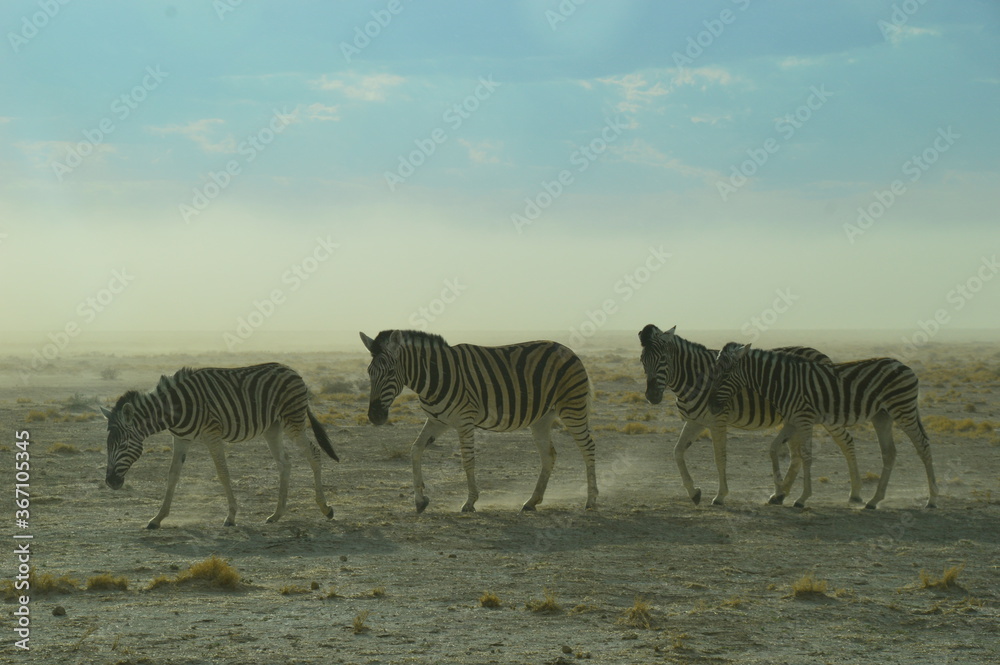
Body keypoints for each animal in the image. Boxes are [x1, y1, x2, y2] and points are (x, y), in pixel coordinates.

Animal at [102, 363, 339, 528]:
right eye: (108, 445)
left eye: (123, 444)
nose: (111, 482)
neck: (174, 410)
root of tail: (292, 370)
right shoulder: (181, 440)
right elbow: (172, 475)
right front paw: (157, 518)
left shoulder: (212, 435)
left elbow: (223, 472)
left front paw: (231, 516)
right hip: (272, 428)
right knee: (285, 463)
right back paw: (276, 514)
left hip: (293, 422)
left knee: (314, 453)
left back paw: (325, 508)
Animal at [360, 329, 598, 513]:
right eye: (369, 372)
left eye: (391, 372)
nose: (375, 416)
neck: (434, 377)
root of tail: (567, 349)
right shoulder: (438, 421)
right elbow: (415, 450)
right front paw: (420, 500)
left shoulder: (464, 421)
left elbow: (467, 460)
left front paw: (470, 502)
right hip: (542, 418)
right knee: (549, 455)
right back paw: (531, 502)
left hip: (572, 407)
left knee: (588, 448)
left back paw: (591, 501)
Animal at [638, 324, 862, 506]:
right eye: (642, 360)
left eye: (663, 359)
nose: (652, 396)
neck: (694, 379)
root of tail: (821, 354)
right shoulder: (696, 421)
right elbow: (677, 451)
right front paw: (694, 493)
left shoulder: (717, 420)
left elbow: (719, 457)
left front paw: (720, 496)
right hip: (796, 417)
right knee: (796, 455)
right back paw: (781, 495)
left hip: (825, 413)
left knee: (846, 441)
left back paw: (855, 494)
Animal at [707, 342, 938, 509]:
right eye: (714, 372)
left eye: (725, 374)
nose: (711, 405)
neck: (782, 383)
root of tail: (904, 366)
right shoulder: (792, 420)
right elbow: (774, 449)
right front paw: (779, 492)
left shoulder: (804, 418)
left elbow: (806, 455)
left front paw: (801, 498)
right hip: (882, 416)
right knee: (889, 453)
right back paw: (874, 501)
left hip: (903, 410)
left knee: (923, 446)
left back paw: (932, 499)